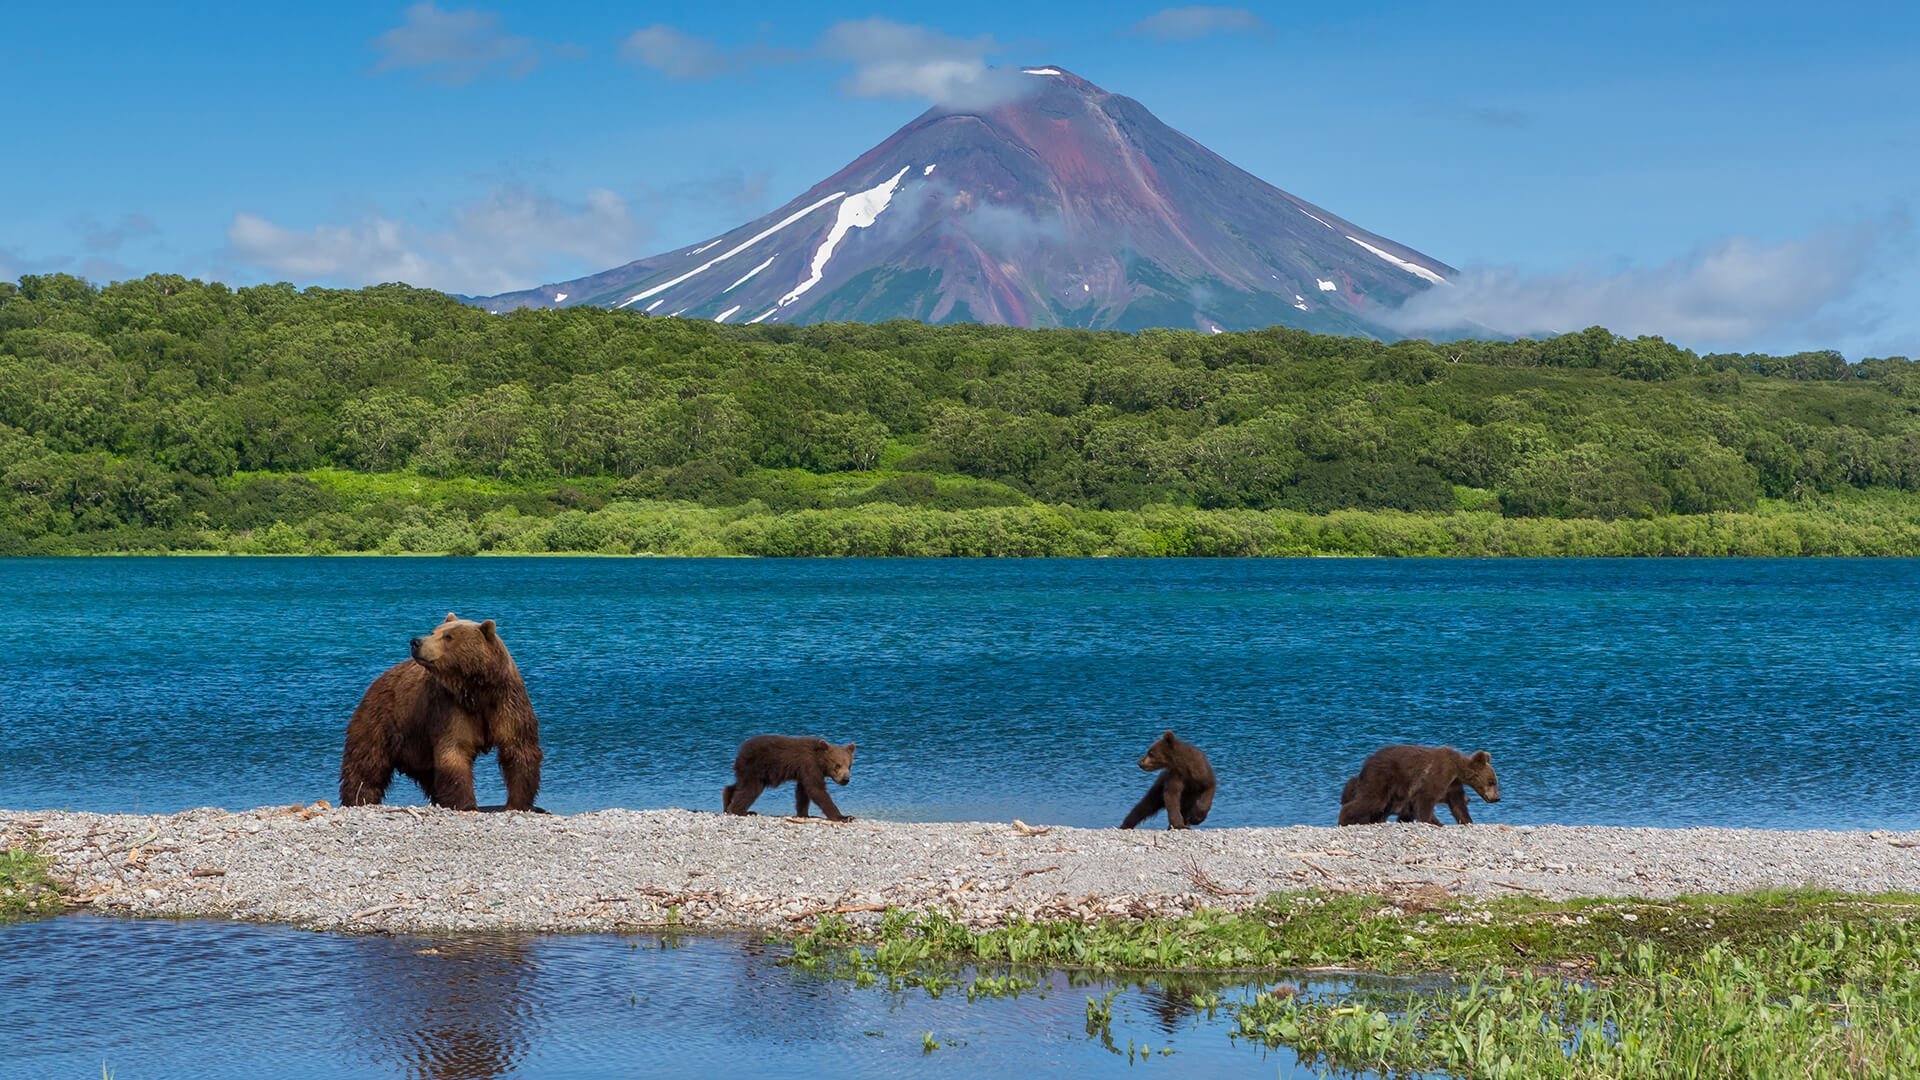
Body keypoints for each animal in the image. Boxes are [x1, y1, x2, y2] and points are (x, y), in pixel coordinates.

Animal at [337, 614, 545, 807]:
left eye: (448, 636)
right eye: (433, 631)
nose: (416, 641)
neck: (476, 690)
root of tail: (377, 681)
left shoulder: (506, 703)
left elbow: (518, 748)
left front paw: (518, 802)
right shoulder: (450, 708)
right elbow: (454, 751)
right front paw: (466, 803)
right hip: (381, 721)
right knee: (366, 764)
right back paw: (358, 798)